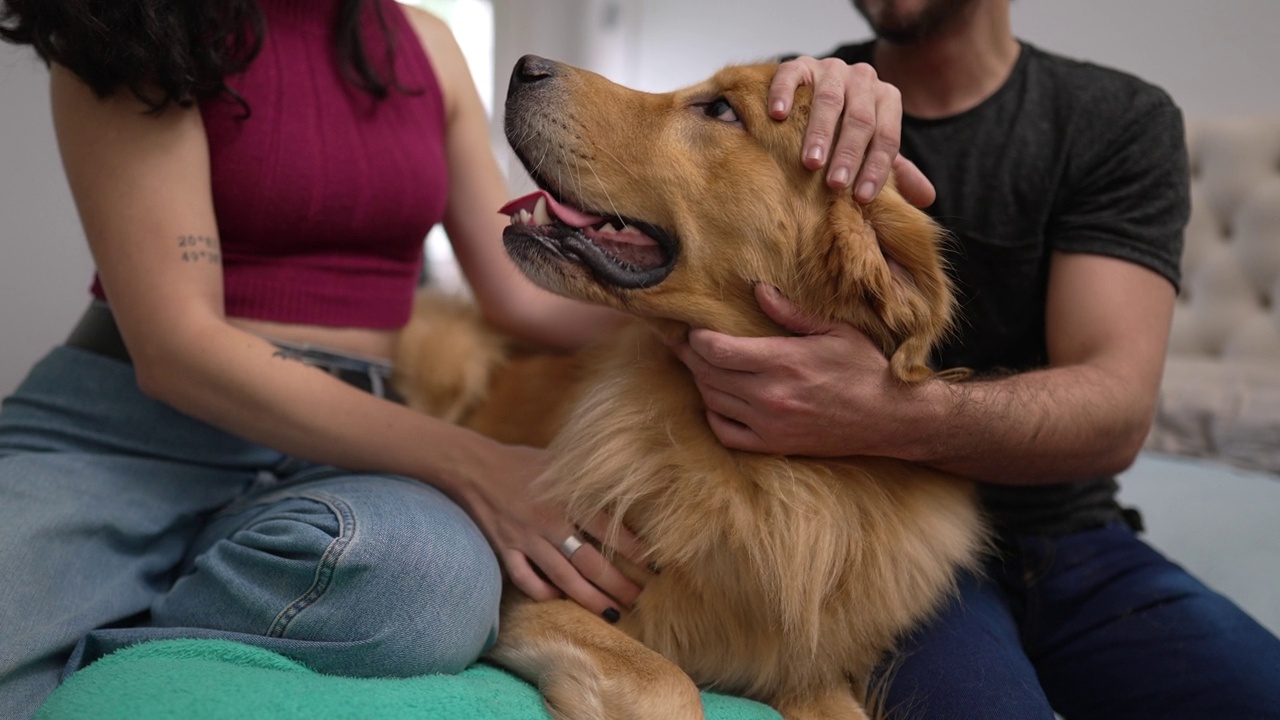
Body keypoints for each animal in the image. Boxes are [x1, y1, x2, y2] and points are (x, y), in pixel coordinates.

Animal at [394, 56, 983, 717]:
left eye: (722, 110)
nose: (525, 66)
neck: (765, 476)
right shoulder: (535, 592)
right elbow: (668, 683)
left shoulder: (808, 671)